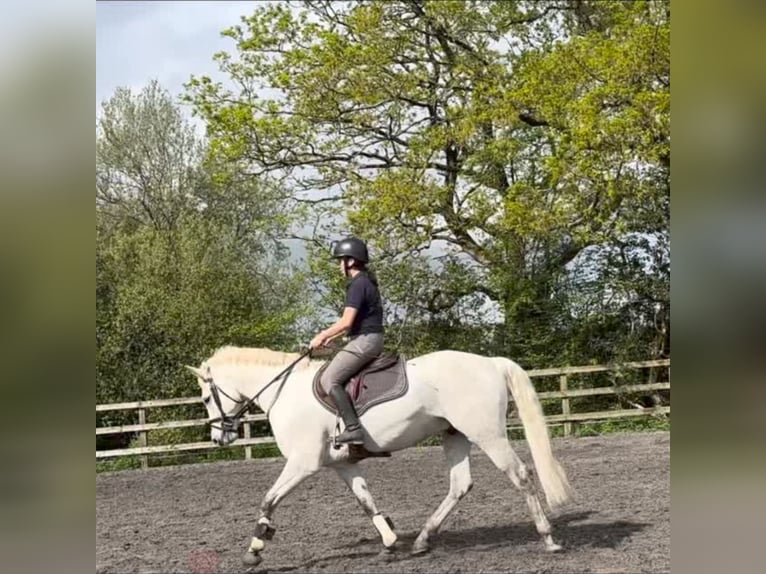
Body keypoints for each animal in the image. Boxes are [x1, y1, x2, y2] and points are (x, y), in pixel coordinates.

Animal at [188, 346, 576, 568]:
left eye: (206, 398)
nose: (219, 437)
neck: (285, 392)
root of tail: (492, 363)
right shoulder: (343, 464)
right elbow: (366, 501)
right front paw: (389, 543)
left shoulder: (302, 464)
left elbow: (269, 499)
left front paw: (255, 548)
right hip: (455, 435)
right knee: (460, 485)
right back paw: (422, 541)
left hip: (487, 435)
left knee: (521, 475)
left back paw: (549, 539)